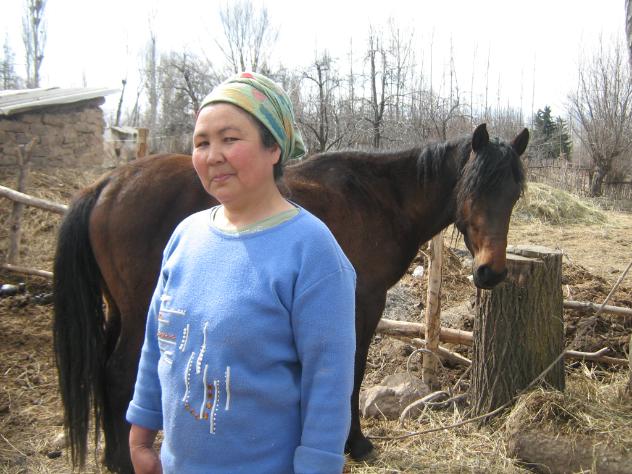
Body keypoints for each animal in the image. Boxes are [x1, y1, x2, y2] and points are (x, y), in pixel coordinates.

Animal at [53, 123, 528, 473]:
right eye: (473, 188)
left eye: (515, 194)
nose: (491, 271)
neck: (380, 200)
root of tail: (107, 183)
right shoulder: (362, 303)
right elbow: (352, 373)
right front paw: (355, 443)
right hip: (140, 313)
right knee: (117, 373)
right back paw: (122, 462)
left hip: (119, 309)